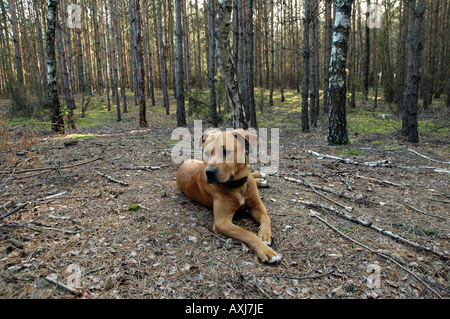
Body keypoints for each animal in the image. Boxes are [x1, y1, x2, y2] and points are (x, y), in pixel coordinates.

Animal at [176, 128, 282, 264]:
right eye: (206, 153)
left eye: (226, 151)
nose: (209, 173)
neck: (237, 185)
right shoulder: (222, 222)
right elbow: (246, 233)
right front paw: (266, 250)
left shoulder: (256, 204)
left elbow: (266, 217)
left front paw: (265, 235)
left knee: (251, 175)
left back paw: (259, 177)